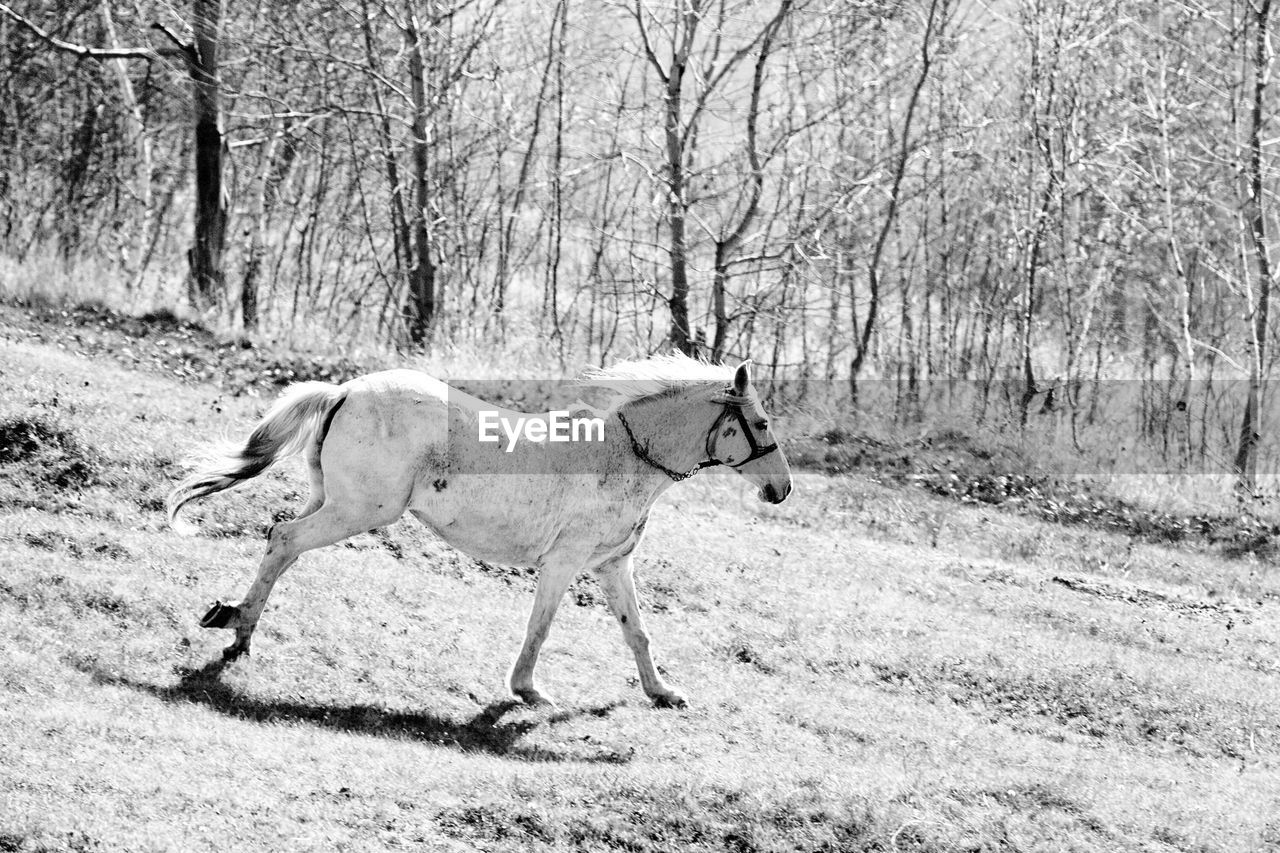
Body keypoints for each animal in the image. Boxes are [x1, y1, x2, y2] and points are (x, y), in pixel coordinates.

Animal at [170, 350, 788, 701]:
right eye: (759, 423)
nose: (781, 490)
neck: (625, 456)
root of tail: (346, 389)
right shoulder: (564, 564)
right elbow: (541, 627)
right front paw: (528, 692)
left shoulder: (611, 565)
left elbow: (636, 631)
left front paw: (663, 693)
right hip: (360, 511)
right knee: (283, 541)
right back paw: (240, 635)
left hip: (331, 500)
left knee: (281, 540)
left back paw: (230, 619)